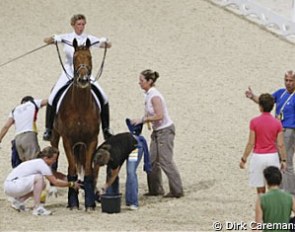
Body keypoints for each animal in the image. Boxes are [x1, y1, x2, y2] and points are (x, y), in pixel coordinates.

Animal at [51, 37, 100, 208]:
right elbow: (72, 169)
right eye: (74, 58)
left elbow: (88, 170)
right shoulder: (68, 141)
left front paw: (90, 202)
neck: (80, 108)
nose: (83, 79)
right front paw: (72, 201)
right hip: (55, 136)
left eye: (90, 57)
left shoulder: (91, 140)